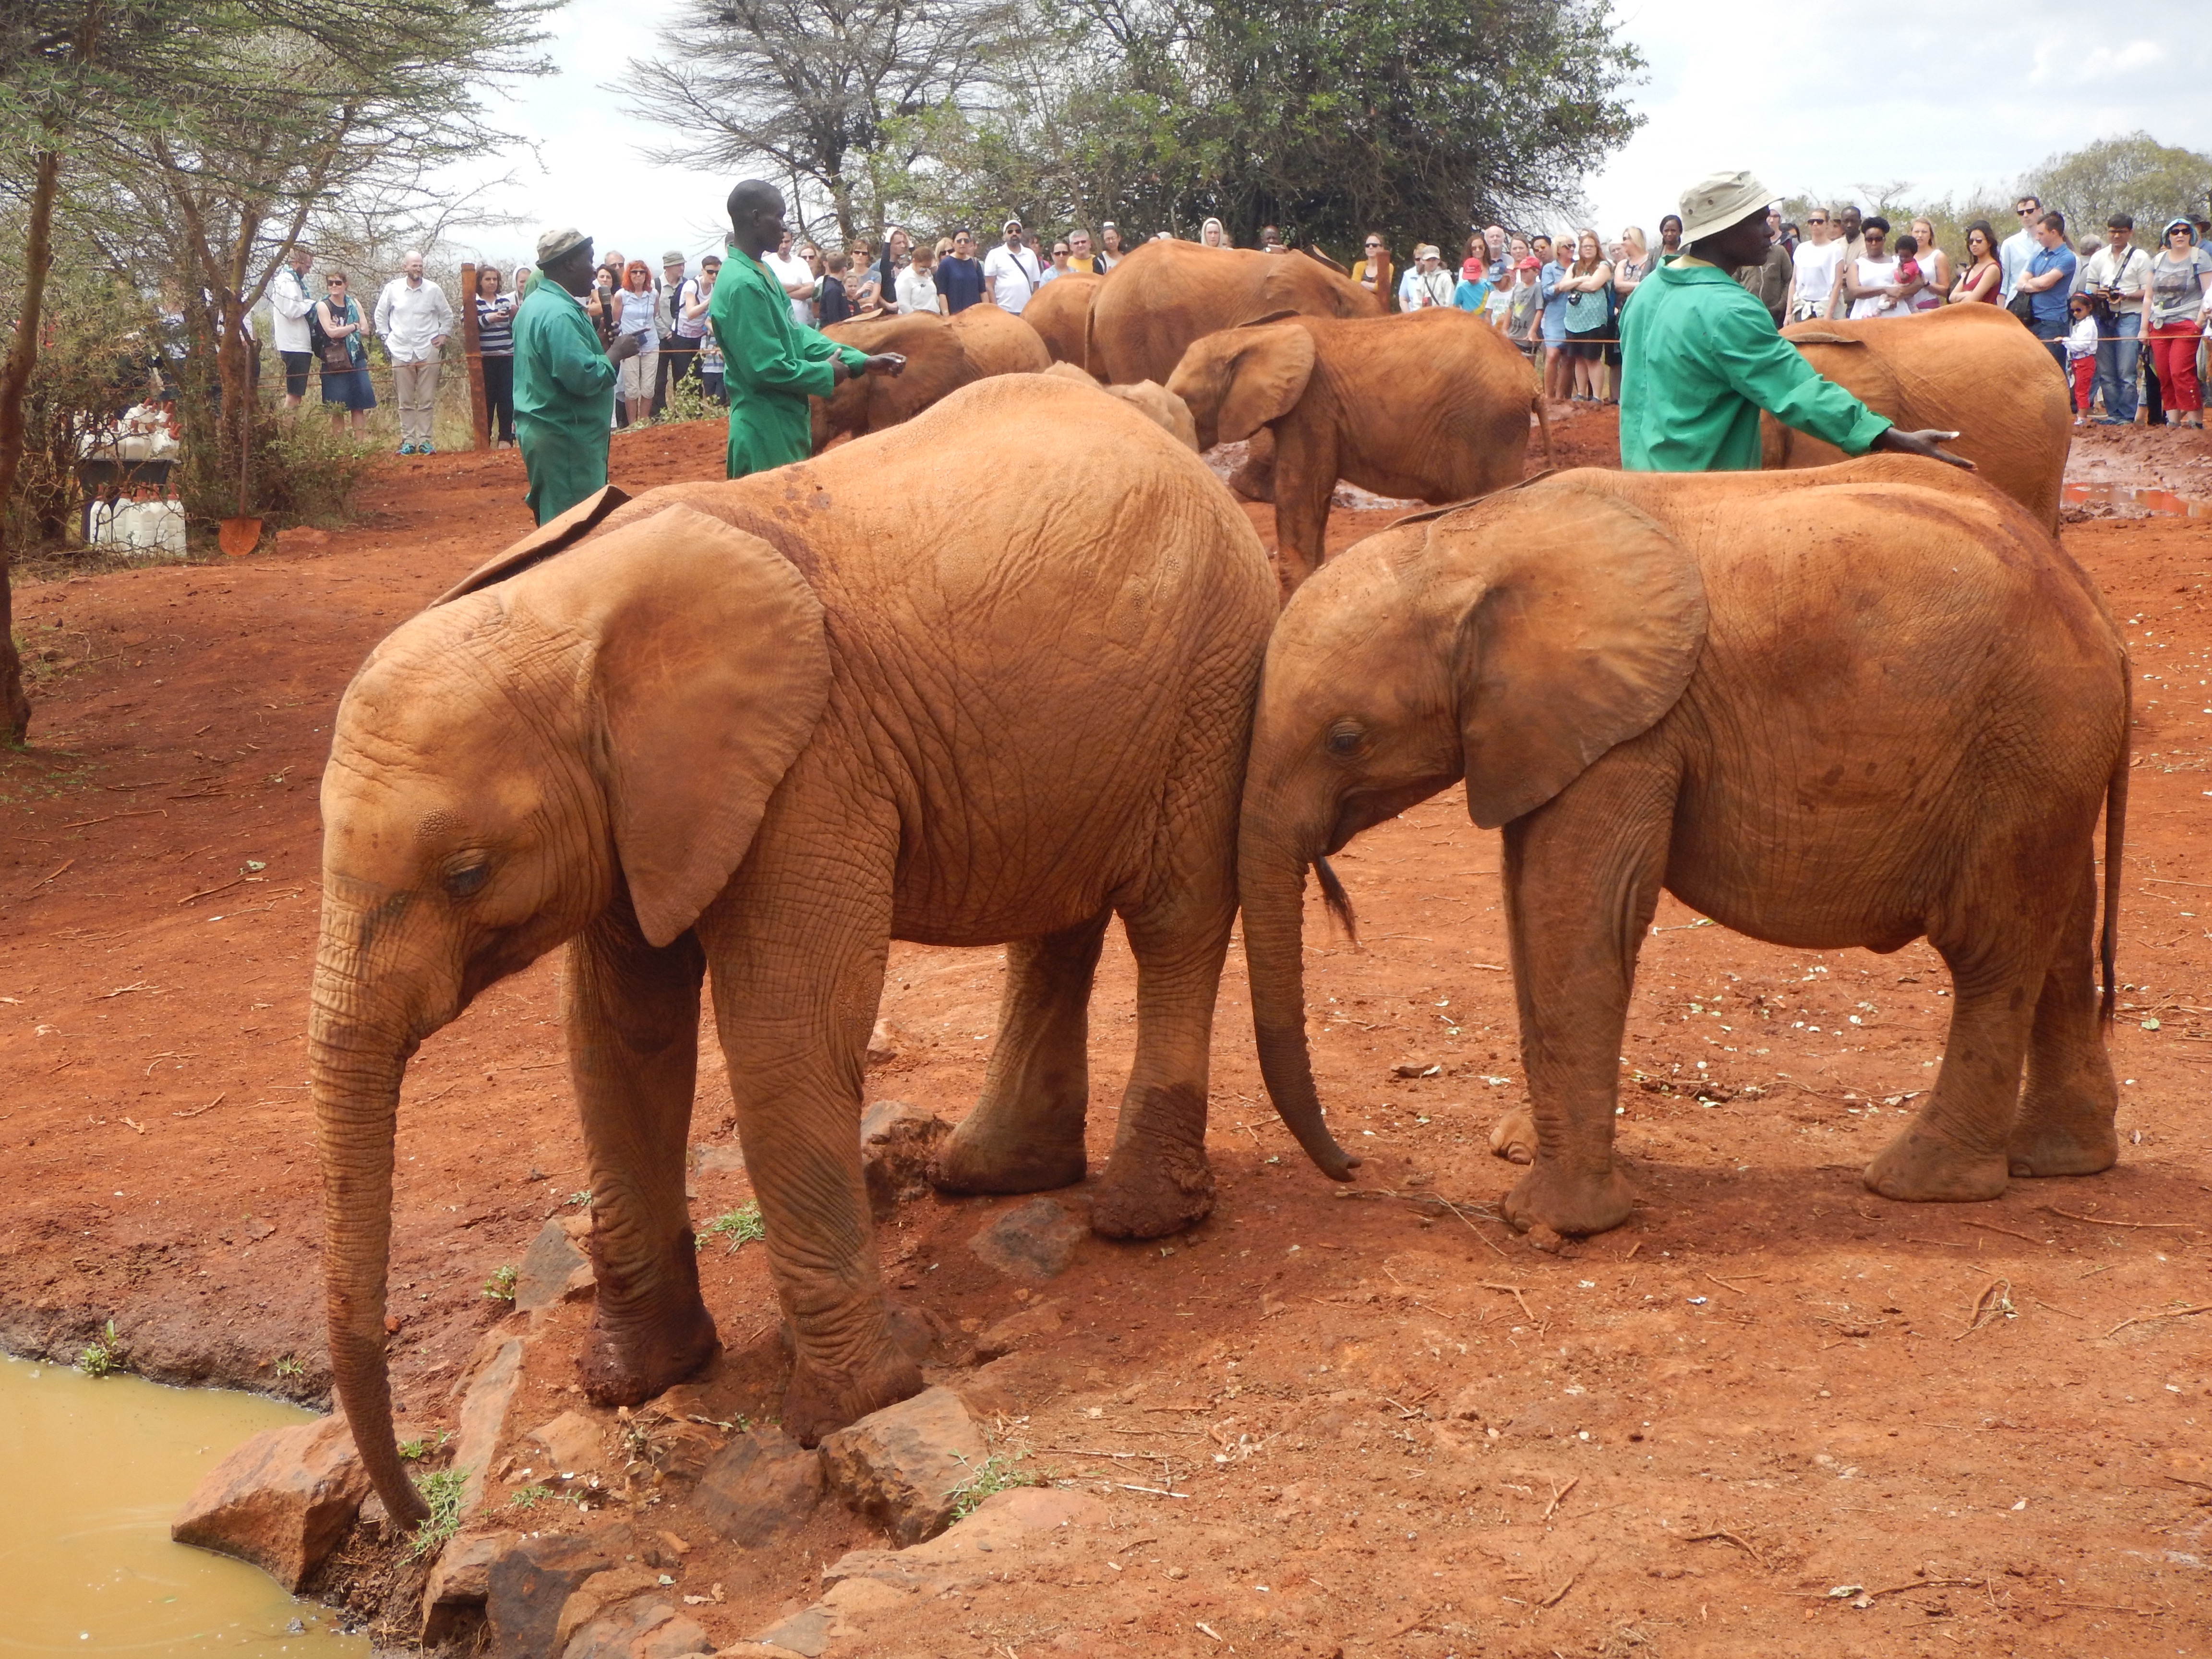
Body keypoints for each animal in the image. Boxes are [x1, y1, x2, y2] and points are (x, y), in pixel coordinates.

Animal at [310, 374, 1278, 1528]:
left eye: (464, 873)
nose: (417, 1512)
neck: (578, 611)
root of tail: (1163, 424)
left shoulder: (810, 767)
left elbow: (784, 1031)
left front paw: (855, 1406)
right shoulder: (637, 817)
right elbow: (617, 1040)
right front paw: (635, 1383)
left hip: (1213, 677)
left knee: (1175, 918)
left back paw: (1140, 1221)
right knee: (1058, 920)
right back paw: (991, 1176)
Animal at [1166, 311, 1552, 593]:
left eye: (1185, 401)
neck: (1256, 335)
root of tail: (1531, 379)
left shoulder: (1312, 407)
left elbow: (1301, 494)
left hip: (1490, 427)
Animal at [1233, 459, 2129, 1241]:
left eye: (1345, 739)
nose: (1352, 1167)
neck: (1476, 536)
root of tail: (2098, 610)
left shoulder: (1634, 731)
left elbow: (1579, 915)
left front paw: (1551, 1222)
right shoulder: (1548, 731)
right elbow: (1529, 911)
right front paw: (1519, 1151)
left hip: (2025, 746)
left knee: (1991, 954)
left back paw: (1919, 1182)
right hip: (2049, 763)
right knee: (2058, 940)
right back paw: (2058, 1160)